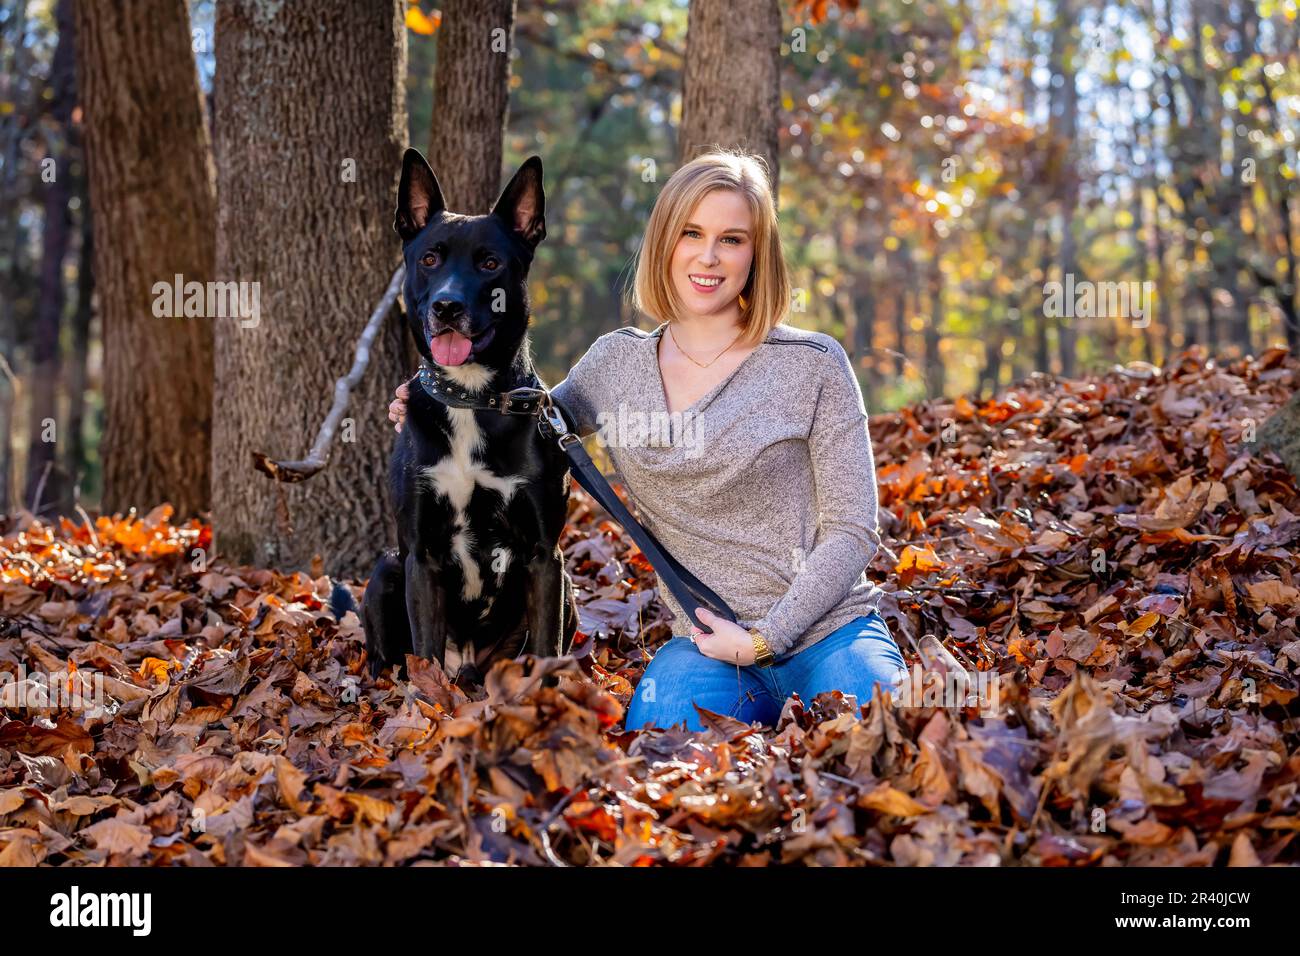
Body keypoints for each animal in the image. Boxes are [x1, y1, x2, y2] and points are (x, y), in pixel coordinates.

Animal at [358, 149, 577, 686]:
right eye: (429, 259)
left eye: (491, 263)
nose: (447, 306)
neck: (472, 400)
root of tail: (472, 666)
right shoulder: (421, 554)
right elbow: (426, 654)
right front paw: (428, 702)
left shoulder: (545, 554)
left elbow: (547, 647)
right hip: (385, 570)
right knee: (388, 655)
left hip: (568, 586)